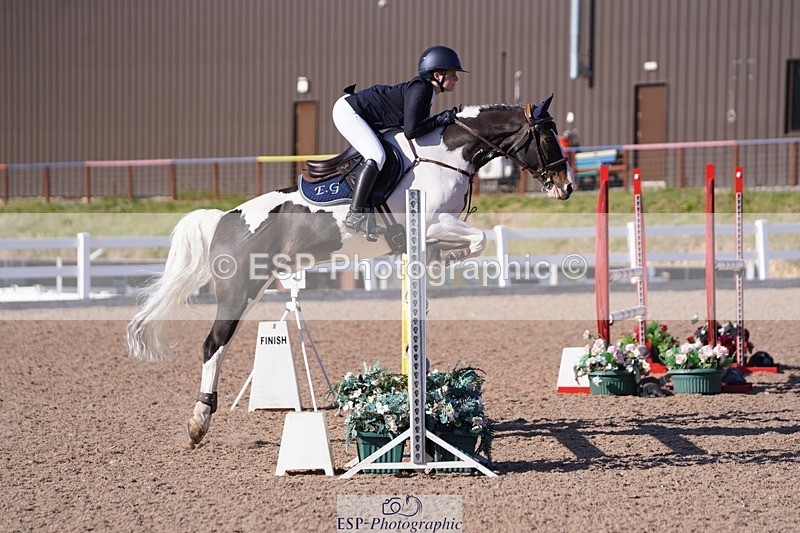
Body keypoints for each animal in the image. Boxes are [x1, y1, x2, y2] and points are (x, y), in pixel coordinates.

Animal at [126, 94, 574, 447]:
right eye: (548, 136)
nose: (566, 187)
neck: (446, 157)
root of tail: (224, 217)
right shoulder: (429, 221)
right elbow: (478, 239)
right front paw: (445, 257)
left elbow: (469, 244)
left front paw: (437, 259)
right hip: (240, 290)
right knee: (213, 345)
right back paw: (199, 422)